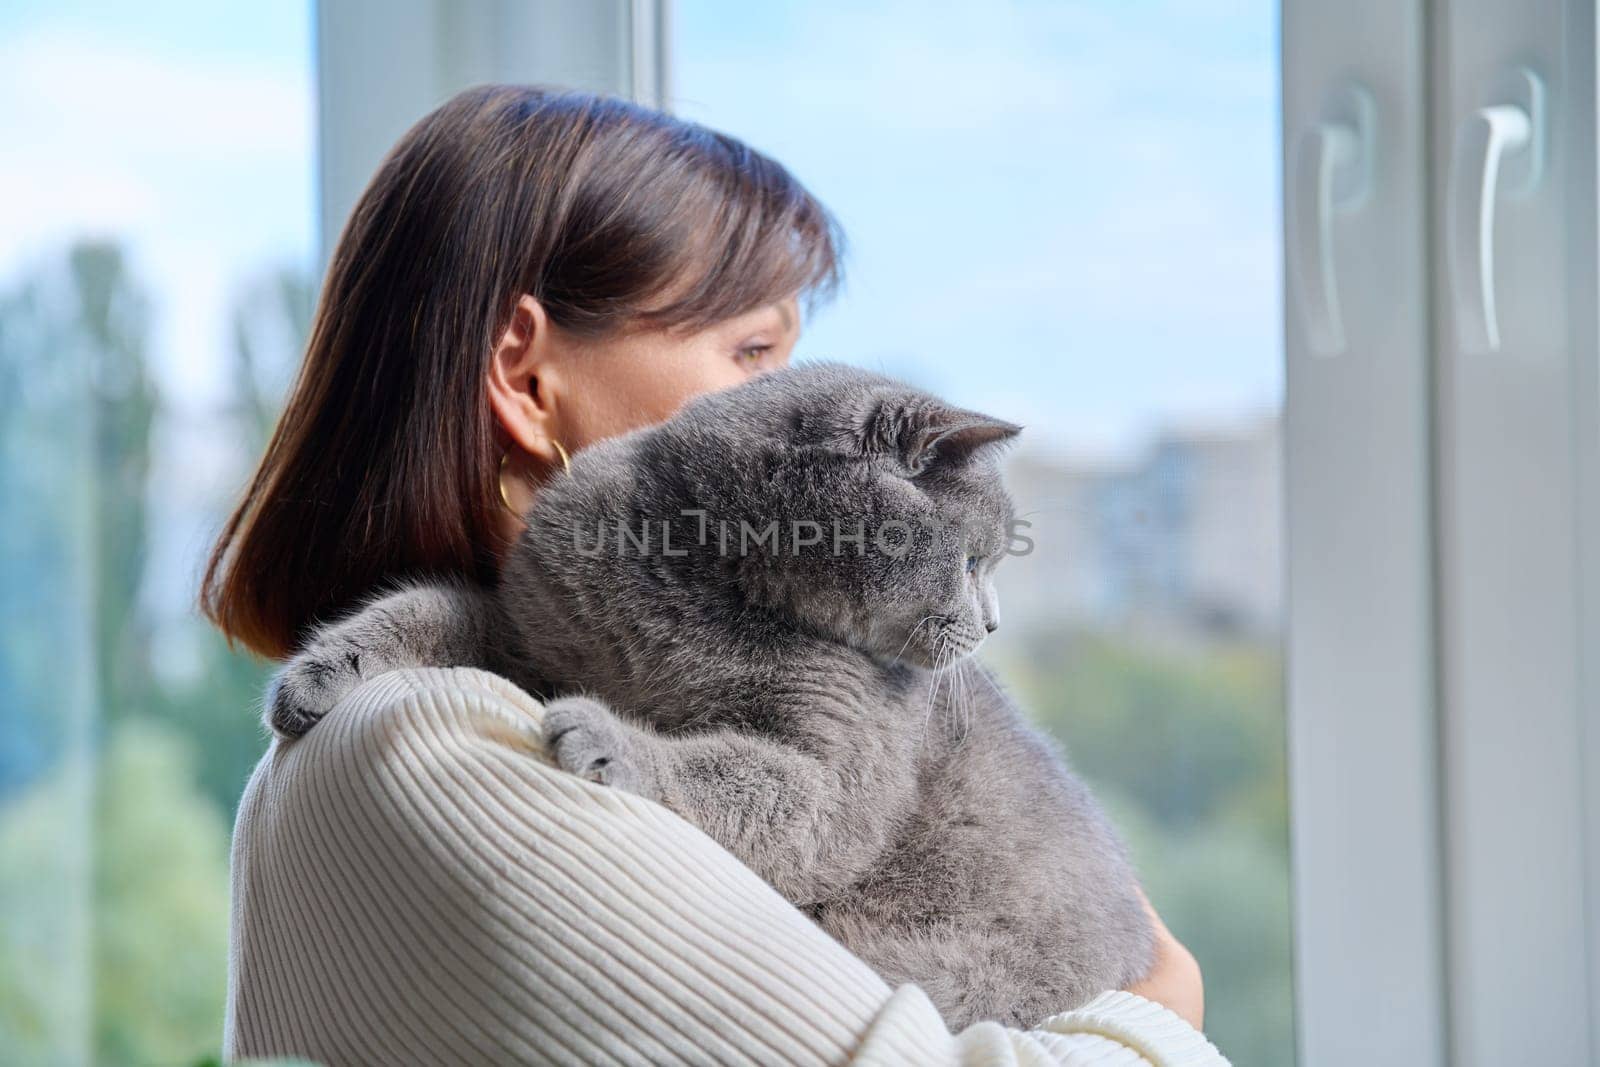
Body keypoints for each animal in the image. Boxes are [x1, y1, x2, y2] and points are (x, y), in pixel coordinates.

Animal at [272, 363, 1152, 1030]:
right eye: (973, 562)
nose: (995, 624)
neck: (709, 590)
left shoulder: (839, 779)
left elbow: (736, 776)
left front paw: (603, 737)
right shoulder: (529, 633)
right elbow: (430, 606)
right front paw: (321, 672)